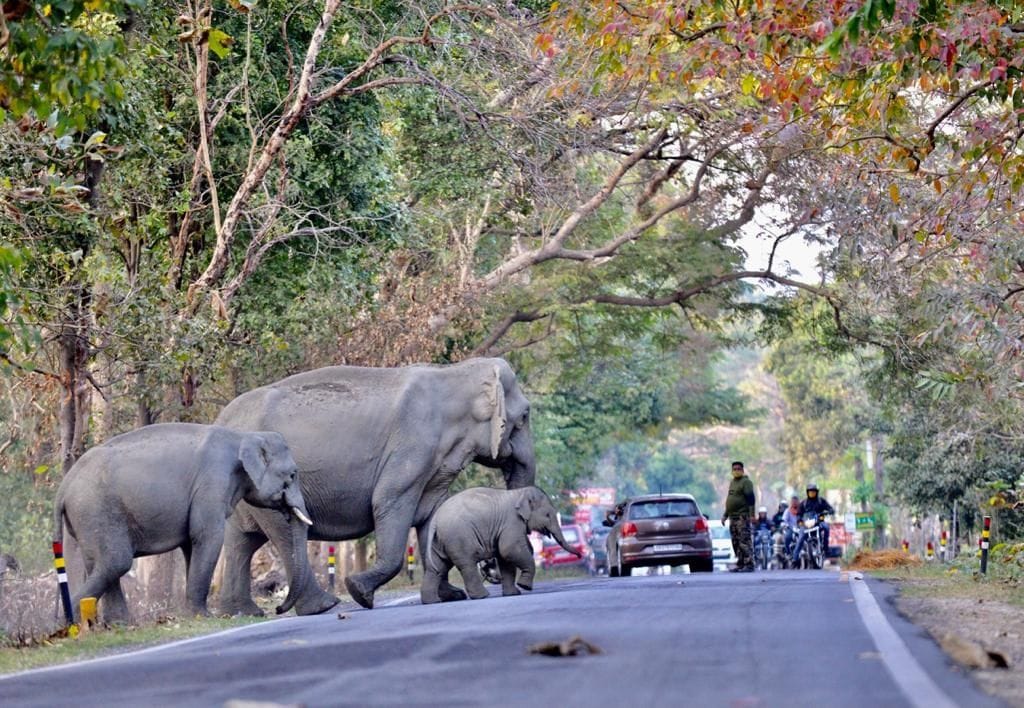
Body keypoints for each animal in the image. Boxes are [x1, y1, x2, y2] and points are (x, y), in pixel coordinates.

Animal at [53, 423, 311, 621]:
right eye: (293, 475)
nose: (277, 609)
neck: (243, 435)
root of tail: (64, 487)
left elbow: (190, 544)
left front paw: (193, 614)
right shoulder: (212, 483)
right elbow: (207, 537)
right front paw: (204, 617)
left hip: (85, 519)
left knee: (99, 564)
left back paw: (119, 625)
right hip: (97, 510)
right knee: (116, 562)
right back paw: (66, 625)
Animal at [215, 357, 536, 614]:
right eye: (525, 416)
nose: (491, 569)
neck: (456, 373)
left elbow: (432, 515)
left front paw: (450, 596)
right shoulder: (413, 445)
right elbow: (389, 500)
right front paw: (359, 592)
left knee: (242, 541)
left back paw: (241, 613)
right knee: (279, 533)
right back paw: (324, 607)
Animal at [420, 486, 579, 604]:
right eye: (547, 515)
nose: (580, 554)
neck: (520, 493)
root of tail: (435, 520)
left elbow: (505, 559)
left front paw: (514, 593)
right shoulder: (512, 522)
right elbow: (509, 549)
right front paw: (525, 587)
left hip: (439, 541)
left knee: (437, 568)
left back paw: (432, 601)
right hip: (458, 538)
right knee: (467, 565)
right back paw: (482, 596)